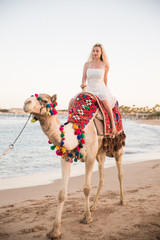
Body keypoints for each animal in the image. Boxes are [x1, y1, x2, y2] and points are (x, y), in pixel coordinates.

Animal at [23, 93, 126, 239]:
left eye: (45, 100)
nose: (26, 102)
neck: (77, 131)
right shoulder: (66, 157)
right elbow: (62, 194)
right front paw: (55, 231)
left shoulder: (90, 157)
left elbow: (86, 188)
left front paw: (87, 218)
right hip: (100, 152)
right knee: (102, 178)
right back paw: (94, 206)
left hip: (117, 146)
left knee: (120, 173)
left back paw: (122, 201)